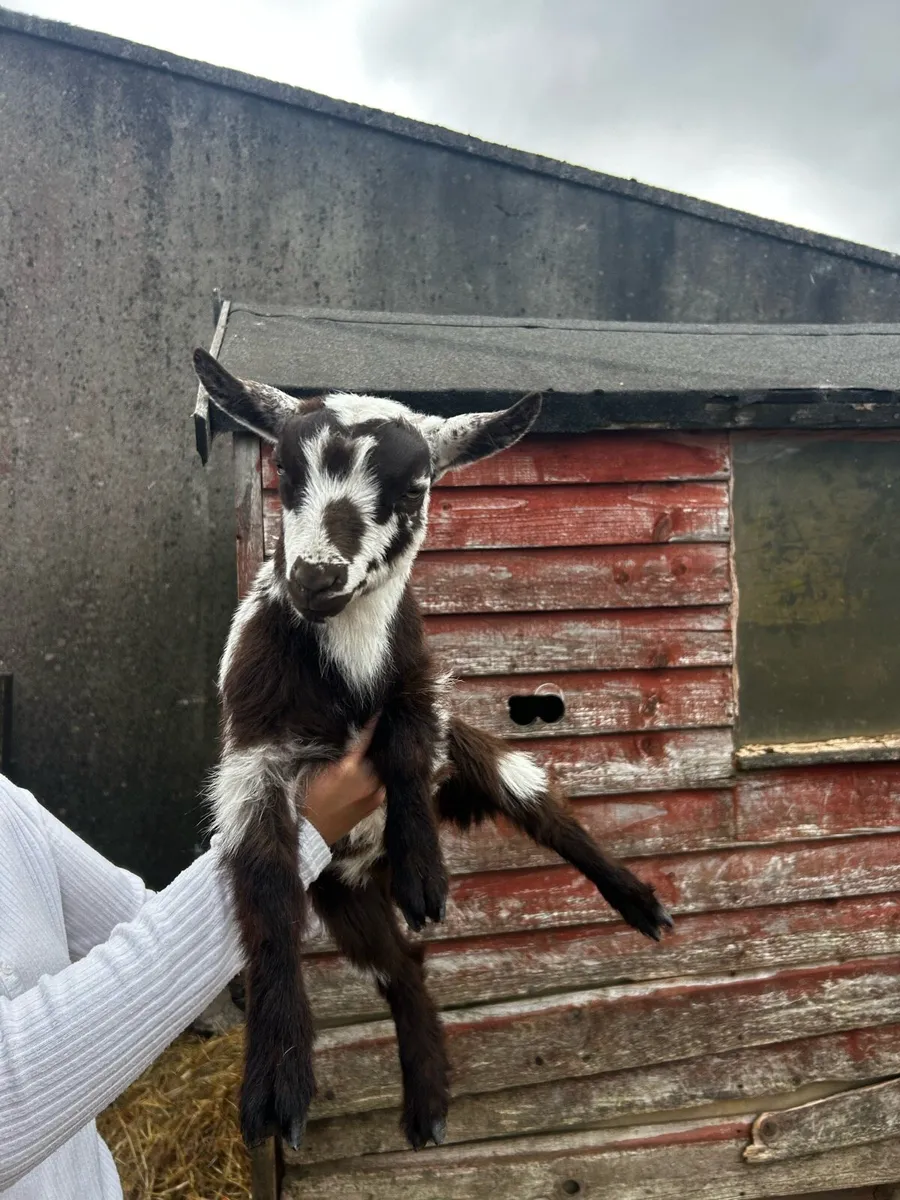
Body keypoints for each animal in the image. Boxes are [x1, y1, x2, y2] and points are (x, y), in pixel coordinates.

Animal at [192, 347, 673, 1153]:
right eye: (284, 471)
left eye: (414, 485)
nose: (315, 579)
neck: (350, 666)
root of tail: (370, 867)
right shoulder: (251, 760)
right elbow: (266, 890)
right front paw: (278, 1080)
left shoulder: (422, 685)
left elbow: (405, 751)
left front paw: (424, 874)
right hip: (343, 896)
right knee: (402, 971)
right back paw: (426, 1103)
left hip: (473, 754)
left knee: (538, 803)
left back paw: (639, 903)